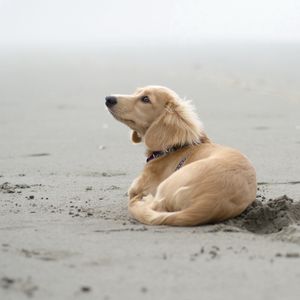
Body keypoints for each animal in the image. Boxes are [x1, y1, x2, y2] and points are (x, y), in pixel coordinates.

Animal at [105, 85, 255, 226]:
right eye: (136, 92)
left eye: (145, 99)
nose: (108, 98)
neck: (173, 148)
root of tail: (208, 203)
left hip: (166, 184)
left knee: (157, 205)